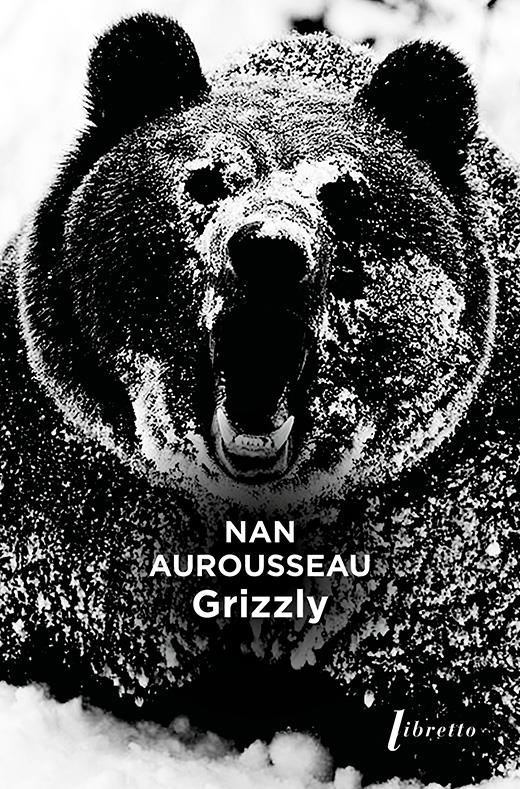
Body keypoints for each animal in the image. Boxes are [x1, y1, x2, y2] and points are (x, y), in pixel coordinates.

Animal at [1, 12, 519, 786]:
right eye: (204, 179)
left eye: (345, 193)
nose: (270, 248)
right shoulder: (87, 513)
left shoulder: (442, 539)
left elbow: (451, 688)